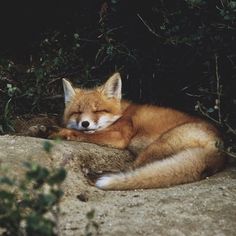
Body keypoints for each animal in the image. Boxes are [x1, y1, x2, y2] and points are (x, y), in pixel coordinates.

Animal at [50, 72, 227, 190]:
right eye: (78, 112)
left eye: (97, 111)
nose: (85, 123)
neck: (121, 113)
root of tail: (221, 148)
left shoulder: (119, 136)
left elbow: (82, 134)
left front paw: (60, 132)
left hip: (157, 145)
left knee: (133, 169)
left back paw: (95, 176)